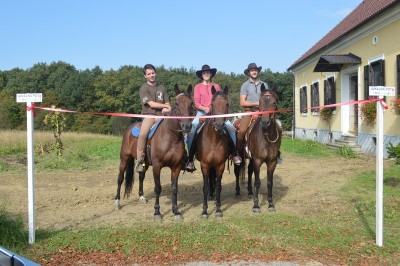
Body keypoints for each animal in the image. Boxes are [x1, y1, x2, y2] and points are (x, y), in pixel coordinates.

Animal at [114, 83, 194, 220]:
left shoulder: (176, 167)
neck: (170, 137)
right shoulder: (157, 166)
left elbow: (174, 188)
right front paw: (157, 212)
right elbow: (157, 188)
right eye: (177, 103)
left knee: (141, 176)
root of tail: (129, 129)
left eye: (191, 103)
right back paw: (117, 202)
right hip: (124, 158)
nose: (186, 126)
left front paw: (176, 211)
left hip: (144, 163)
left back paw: (141, 197)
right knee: (120, 178)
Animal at [195, 86, 230, 219]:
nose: (219, 126)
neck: (214, 139)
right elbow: (204, 187)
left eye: (227, 104)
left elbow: (219, 186)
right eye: (212, 104)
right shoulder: (204, 164)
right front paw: (204, 211)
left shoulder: (220, 165)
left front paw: (218, 209)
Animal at [234, 84, 282, 213]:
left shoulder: (272, 162)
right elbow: (257, 182)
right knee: (237, 172)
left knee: (249, 171)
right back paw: (238, 192)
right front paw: (256, 205)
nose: (265, 122)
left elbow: (269, 183)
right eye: (260, 101)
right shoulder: (257, 160)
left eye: (274, 102)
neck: (266, 136)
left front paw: (271, 204)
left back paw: (250, 192)